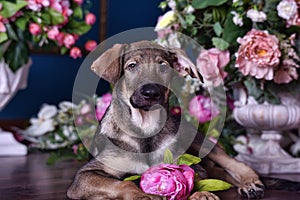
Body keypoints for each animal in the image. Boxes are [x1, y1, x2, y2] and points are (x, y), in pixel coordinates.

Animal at [68, 41, 264, 200]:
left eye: (163, 68)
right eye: (132, 66)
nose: (151, 93)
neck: (145, 128)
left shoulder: (185, 163)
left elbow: (192, 178)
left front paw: (201, 194)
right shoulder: (85, 175)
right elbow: (123, 183)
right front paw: (142, 196)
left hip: (199, 141)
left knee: (232, 164)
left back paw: (249, 182)